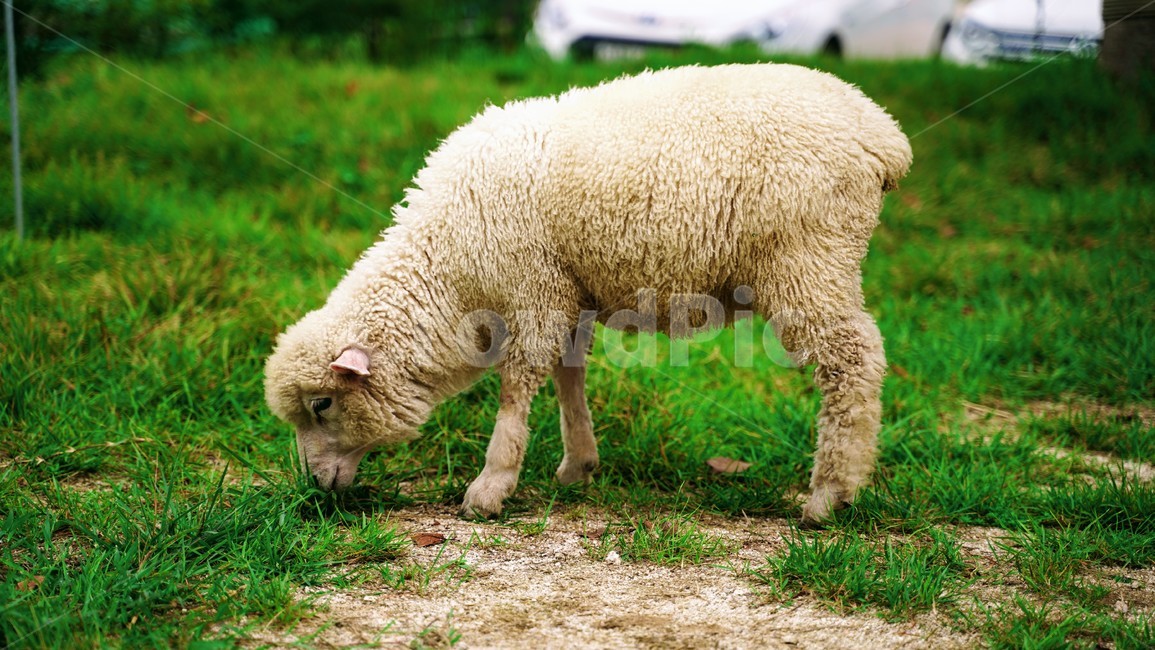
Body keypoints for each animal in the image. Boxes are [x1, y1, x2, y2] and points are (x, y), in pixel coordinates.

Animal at [264, 62, 912, 524]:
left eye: (322, 405)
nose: (315, 489)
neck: (450, 269)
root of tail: (882, 134)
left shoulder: (532, 288)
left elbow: (516, 388)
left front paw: (490, 487)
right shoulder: (566, 293)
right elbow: (567, 375)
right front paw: (579, 463)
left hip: (808, 257)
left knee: (853, 361)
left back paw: (829, 496)